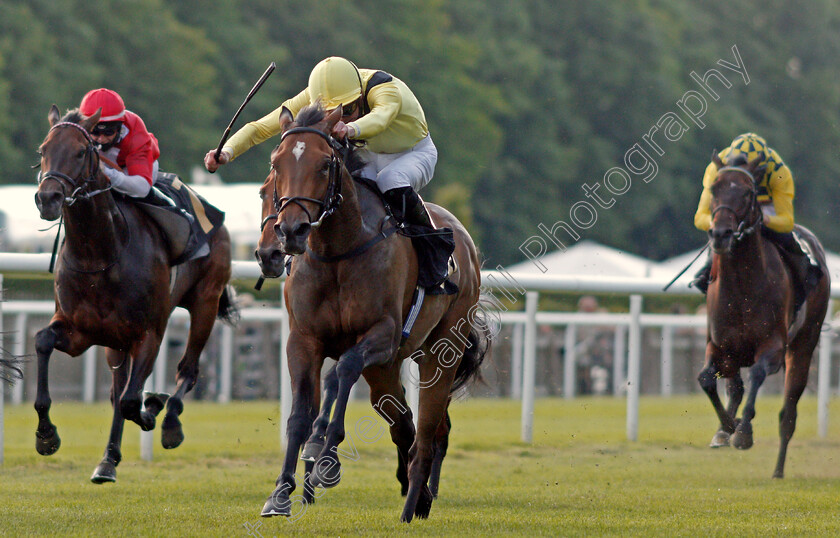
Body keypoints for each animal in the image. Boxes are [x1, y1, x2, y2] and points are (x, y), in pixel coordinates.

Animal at [32, 105, 236, 482]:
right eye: (43, 150)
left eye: (80, 152)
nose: (47, 198)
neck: (99, 255)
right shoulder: (80, 332)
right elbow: (42, 341)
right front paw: (46, 435)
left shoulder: (148, 334)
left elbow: (132, 401)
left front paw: (153, 407)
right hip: (115, 342)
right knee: (118, 390)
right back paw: (107, 461)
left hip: (206, 302)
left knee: (187, 370)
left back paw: (170, 422)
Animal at [256, 103, 492, 520]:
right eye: (276, 163)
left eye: (324, 164)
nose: (290, 232)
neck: (337, 251)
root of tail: (463, 238)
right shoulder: (303, 339)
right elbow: (299, 414)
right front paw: (281, 493)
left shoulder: (381, 333)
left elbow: (343, 372)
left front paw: (325, 459)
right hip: (387, 368)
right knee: (403, 422)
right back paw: (418, 494)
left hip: (439, 351)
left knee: (429, 431)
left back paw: (413, 503)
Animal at [700, 149, 832, 476]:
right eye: (714, 189)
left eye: (748, 193)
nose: (720, 234)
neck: (741, 288)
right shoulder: (719, 345)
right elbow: (707, 379)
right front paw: (727, 427)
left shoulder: (773, 346)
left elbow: (758, 375)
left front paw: (743, 432)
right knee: (734, 385)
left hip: (803, 345)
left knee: (788, 413)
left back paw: (778, 470)